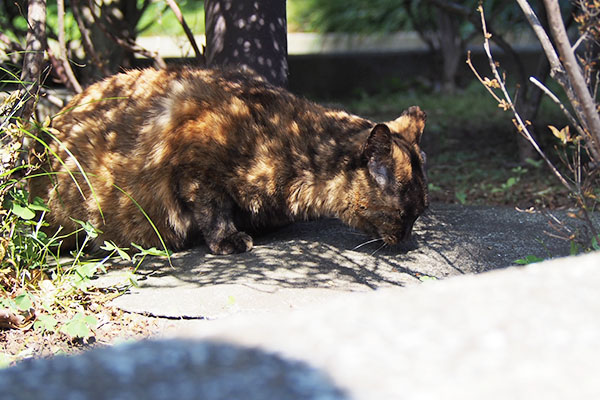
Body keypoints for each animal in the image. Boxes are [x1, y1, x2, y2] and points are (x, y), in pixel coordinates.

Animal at [30, 65, 428, 253]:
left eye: (420, 213)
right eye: (403, 214)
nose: (407, 238)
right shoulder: (193, 157)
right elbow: (212, 207)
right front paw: (229, 239)